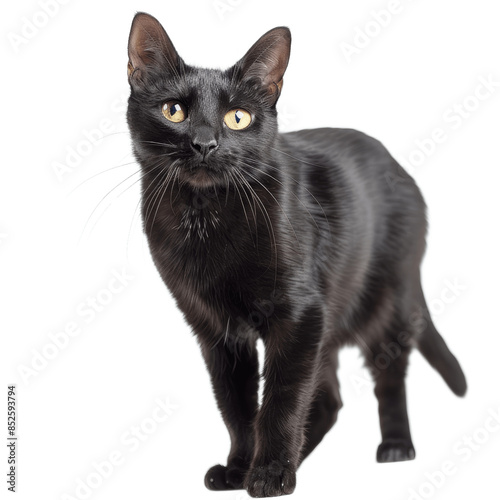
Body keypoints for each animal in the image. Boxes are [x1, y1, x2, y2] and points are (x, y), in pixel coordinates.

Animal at [125, 11, 464, 496]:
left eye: (238, 117)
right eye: (174, 110)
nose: (205, 143)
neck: (205, 217)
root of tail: (402, 170)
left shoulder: (300, 313)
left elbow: (282, 399)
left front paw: (268, 474)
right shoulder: (217, 330)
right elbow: (236, 406)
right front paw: (239, 468)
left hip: (386, 302)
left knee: (388, 375)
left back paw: (395, 446)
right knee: (328, 400)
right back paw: (295, 460)